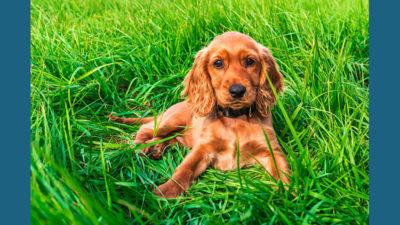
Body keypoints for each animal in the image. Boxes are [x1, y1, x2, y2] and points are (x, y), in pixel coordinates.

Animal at [109, 31, 290, 197]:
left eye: (250, 61)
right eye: (218, 63)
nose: (237, 91)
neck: (235, 118)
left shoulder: (270, 149)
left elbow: (282, 171)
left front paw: (287, 194)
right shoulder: (203, 148)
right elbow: (184, 169)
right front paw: (165, 192)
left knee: (172, 139)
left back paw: (156, 147)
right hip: (170, 121)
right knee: (146, 128)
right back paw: (139, 146)